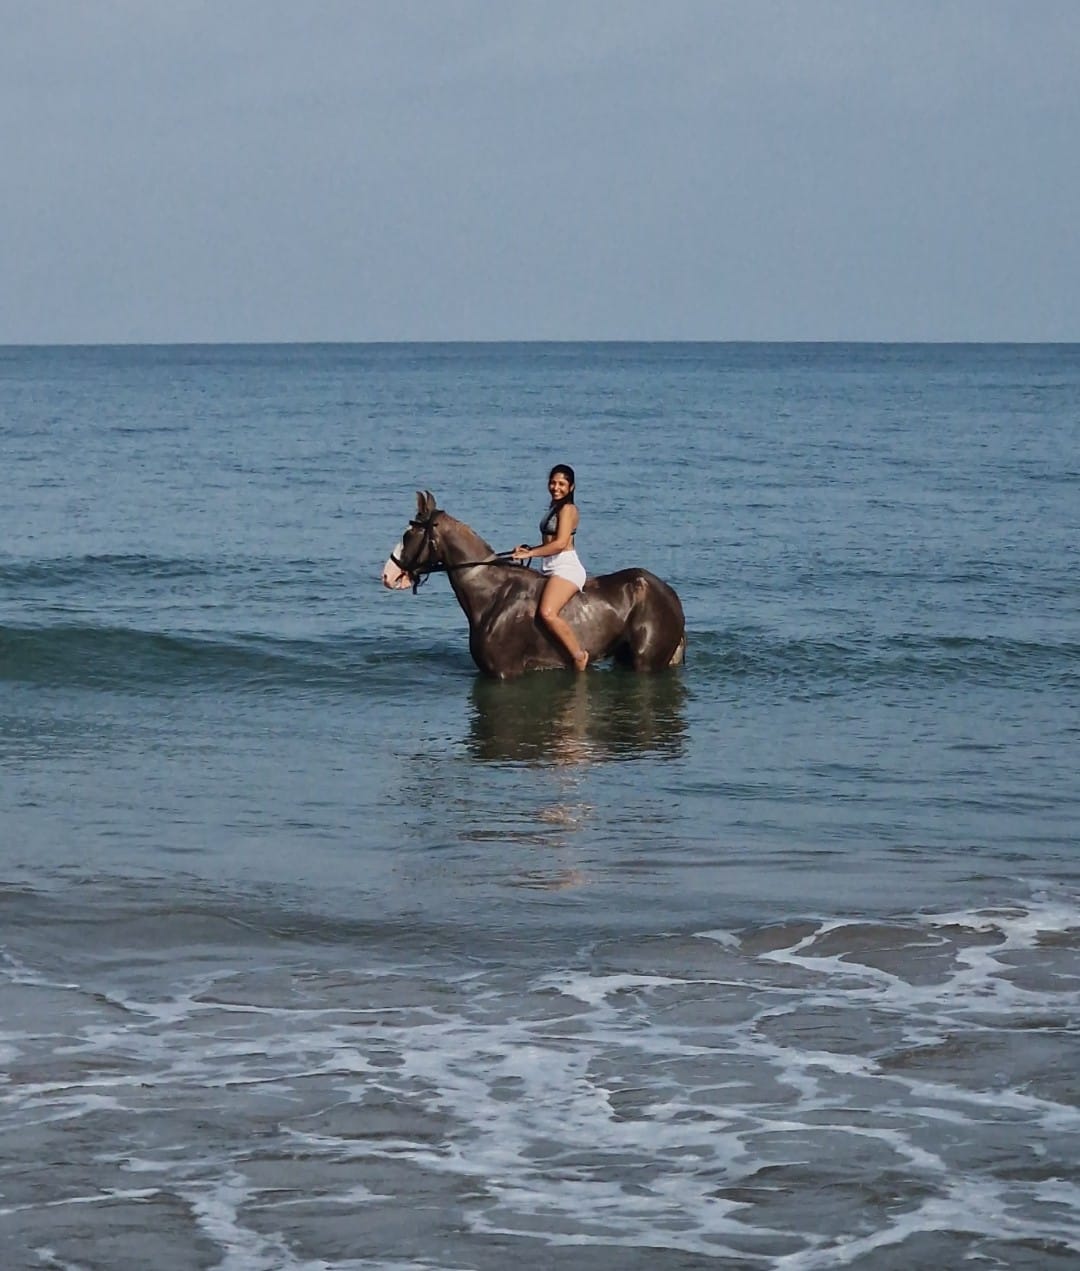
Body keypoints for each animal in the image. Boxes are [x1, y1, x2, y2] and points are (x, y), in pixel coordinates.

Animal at [382, 491, 686, 680]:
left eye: (409, 534)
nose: (388, 574)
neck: (491, 595)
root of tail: (669, 594)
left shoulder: (506, 672)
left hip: (645, 661)